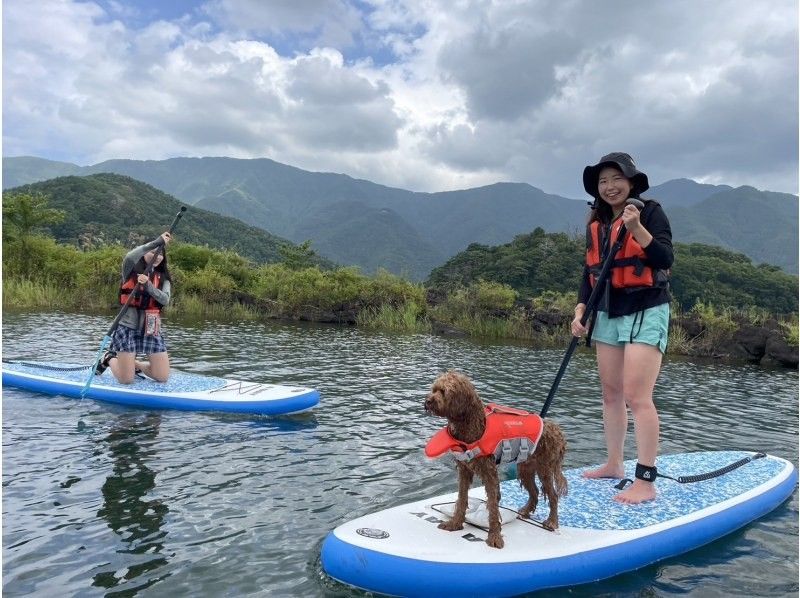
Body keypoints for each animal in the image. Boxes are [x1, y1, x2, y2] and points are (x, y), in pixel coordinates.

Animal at [424, 372, 568, 552]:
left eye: (444, 391)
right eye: (434, 389)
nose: (427, 401)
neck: (474, 427)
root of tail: (558, 431)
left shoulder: (490, 473)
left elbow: (492, 506)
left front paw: (494, 537)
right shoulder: (464, 470)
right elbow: (462, 499)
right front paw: (455, 524)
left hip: (545, 468)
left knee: (553, 495)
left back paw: (552, 522)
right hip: (525, 468)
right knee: (534, 492)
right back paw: (525, 511)